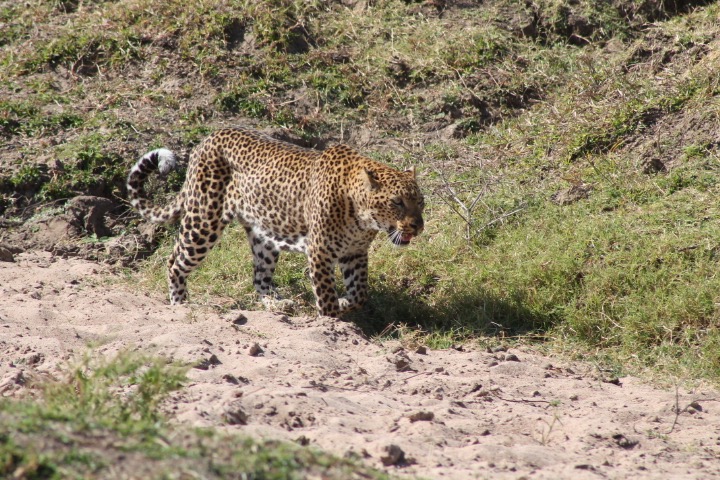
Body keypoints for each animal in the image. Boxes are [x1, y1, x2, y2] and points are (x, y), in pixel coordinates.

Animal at [126, 125, 424, 316]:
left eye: (420, 202)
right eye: (397, 202)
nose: (418, 226)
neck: (362, 218)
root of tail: (208, 137)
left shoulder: (355, 252)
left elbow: (359, 294)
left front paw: (343, 304)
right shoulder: (320, 250)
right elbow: (326, 294)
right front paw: (331, 319)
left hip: (263, 237)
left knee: (259, 277)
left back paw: (276, 304)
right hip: (204, 219)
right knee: (175, 260)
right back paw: (180, 305)